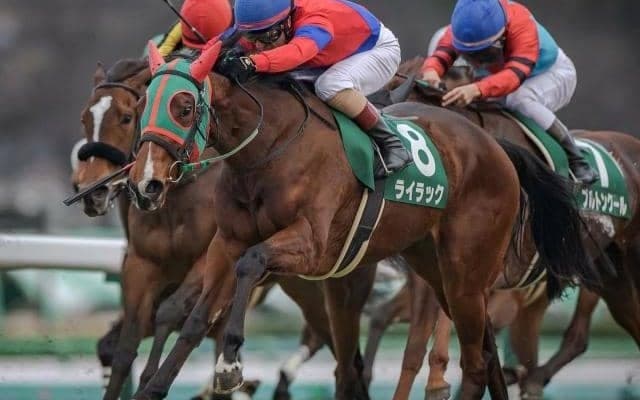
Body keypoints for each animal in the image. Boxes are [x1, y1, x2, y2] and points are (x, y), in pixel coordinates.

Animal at [126, 41, 598, 400]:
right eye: (142, 104)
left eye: (184, 106)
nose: (145, 184)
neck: (270, 149)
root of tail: (496, 147)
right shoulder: (225, 243)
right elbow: (195, 319)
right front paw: (153, 387)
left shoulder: (313, 248)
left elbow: (252, 262)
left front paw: (229, 365)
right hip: (438, 269)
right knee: (484, 352)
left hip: (466, 272)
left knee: (476, 360)